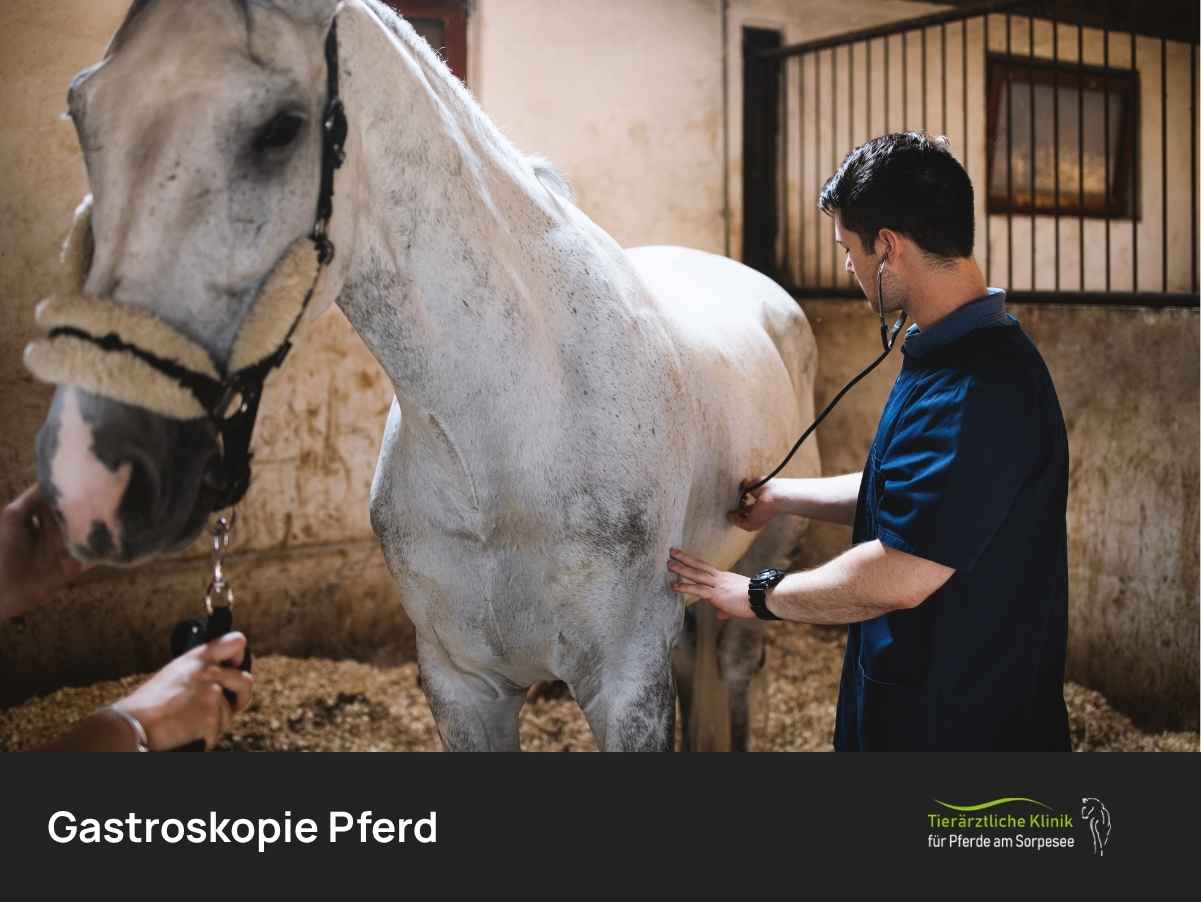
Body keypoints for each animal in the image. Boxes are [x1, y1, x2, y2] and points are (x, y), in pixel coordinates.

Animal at [27, 0, 820, 751]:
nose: (89, 478)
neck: (507, 435)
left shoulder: (626, 686)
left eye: (280, 128)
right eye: (81, 110)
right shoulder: (461, 686)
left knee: (733, 670)